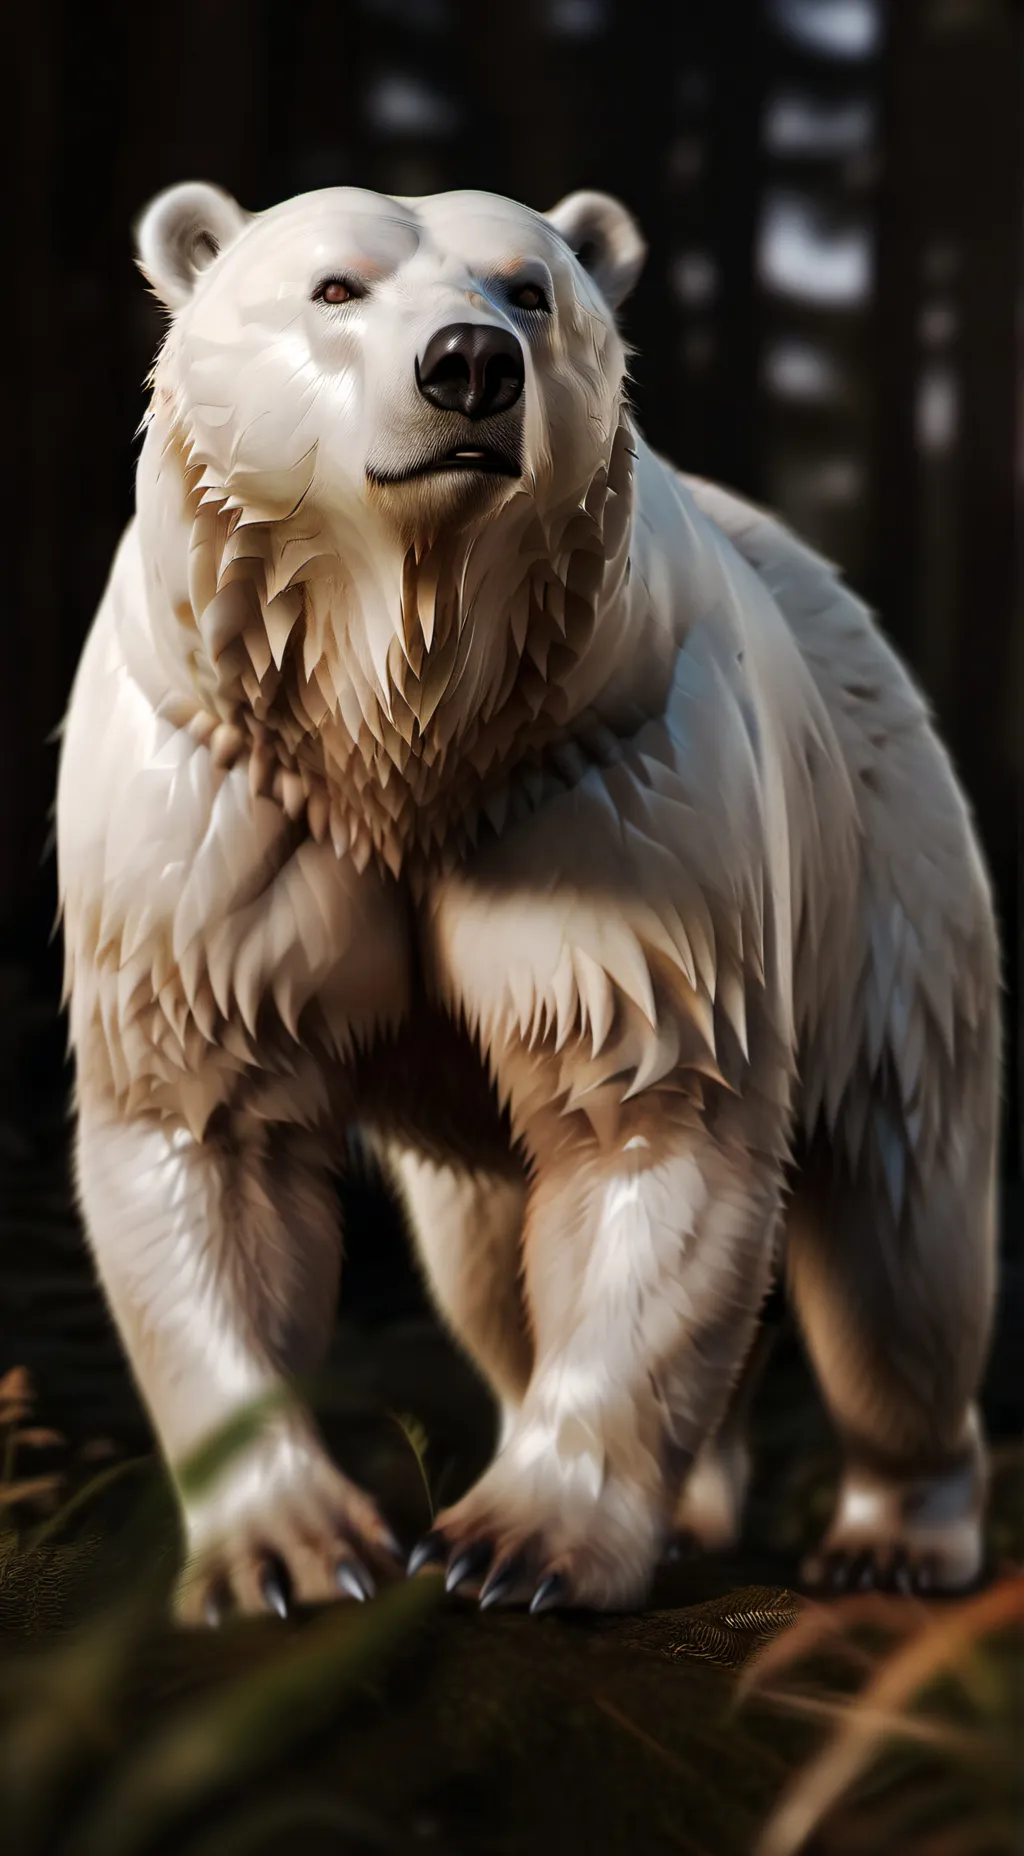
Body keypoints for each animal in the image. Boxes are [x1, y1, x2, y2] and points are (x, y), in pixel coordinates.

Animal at [56, 179, 1000, 1623]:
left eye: (530, 289)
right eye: (335, 287)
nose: (469, 364)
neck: (403, 728)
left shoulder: (613, 783)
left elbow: (648, 1115)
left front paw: (521, 1545)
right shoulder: (213, 791)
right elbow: (206, 1127)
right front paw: (290, 1552)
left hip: (891, 879)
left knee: (900, 1244)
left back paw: (895, 1535)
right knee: (489, 1267)